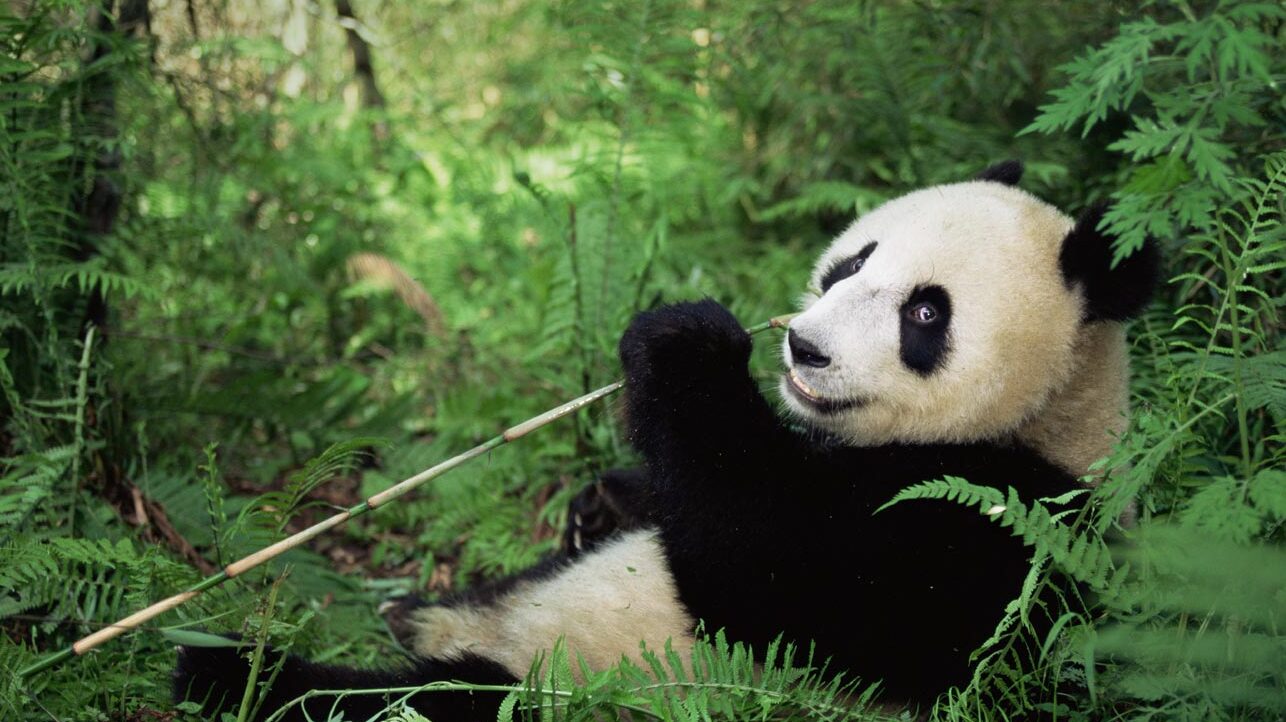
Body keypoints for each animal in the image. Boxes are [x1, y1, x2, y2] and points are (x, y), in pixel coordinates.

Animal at [174, 161, 1159, 720]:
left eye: (925, 312)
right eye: (851, 263)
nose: (803, 347)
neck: (1051, 417)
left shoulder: (1001, 531)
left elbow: (769, 574)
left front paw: (685, 343)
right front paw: (601, 500)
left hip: (569, 694)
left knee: (421, 705)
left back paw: (230, 674)